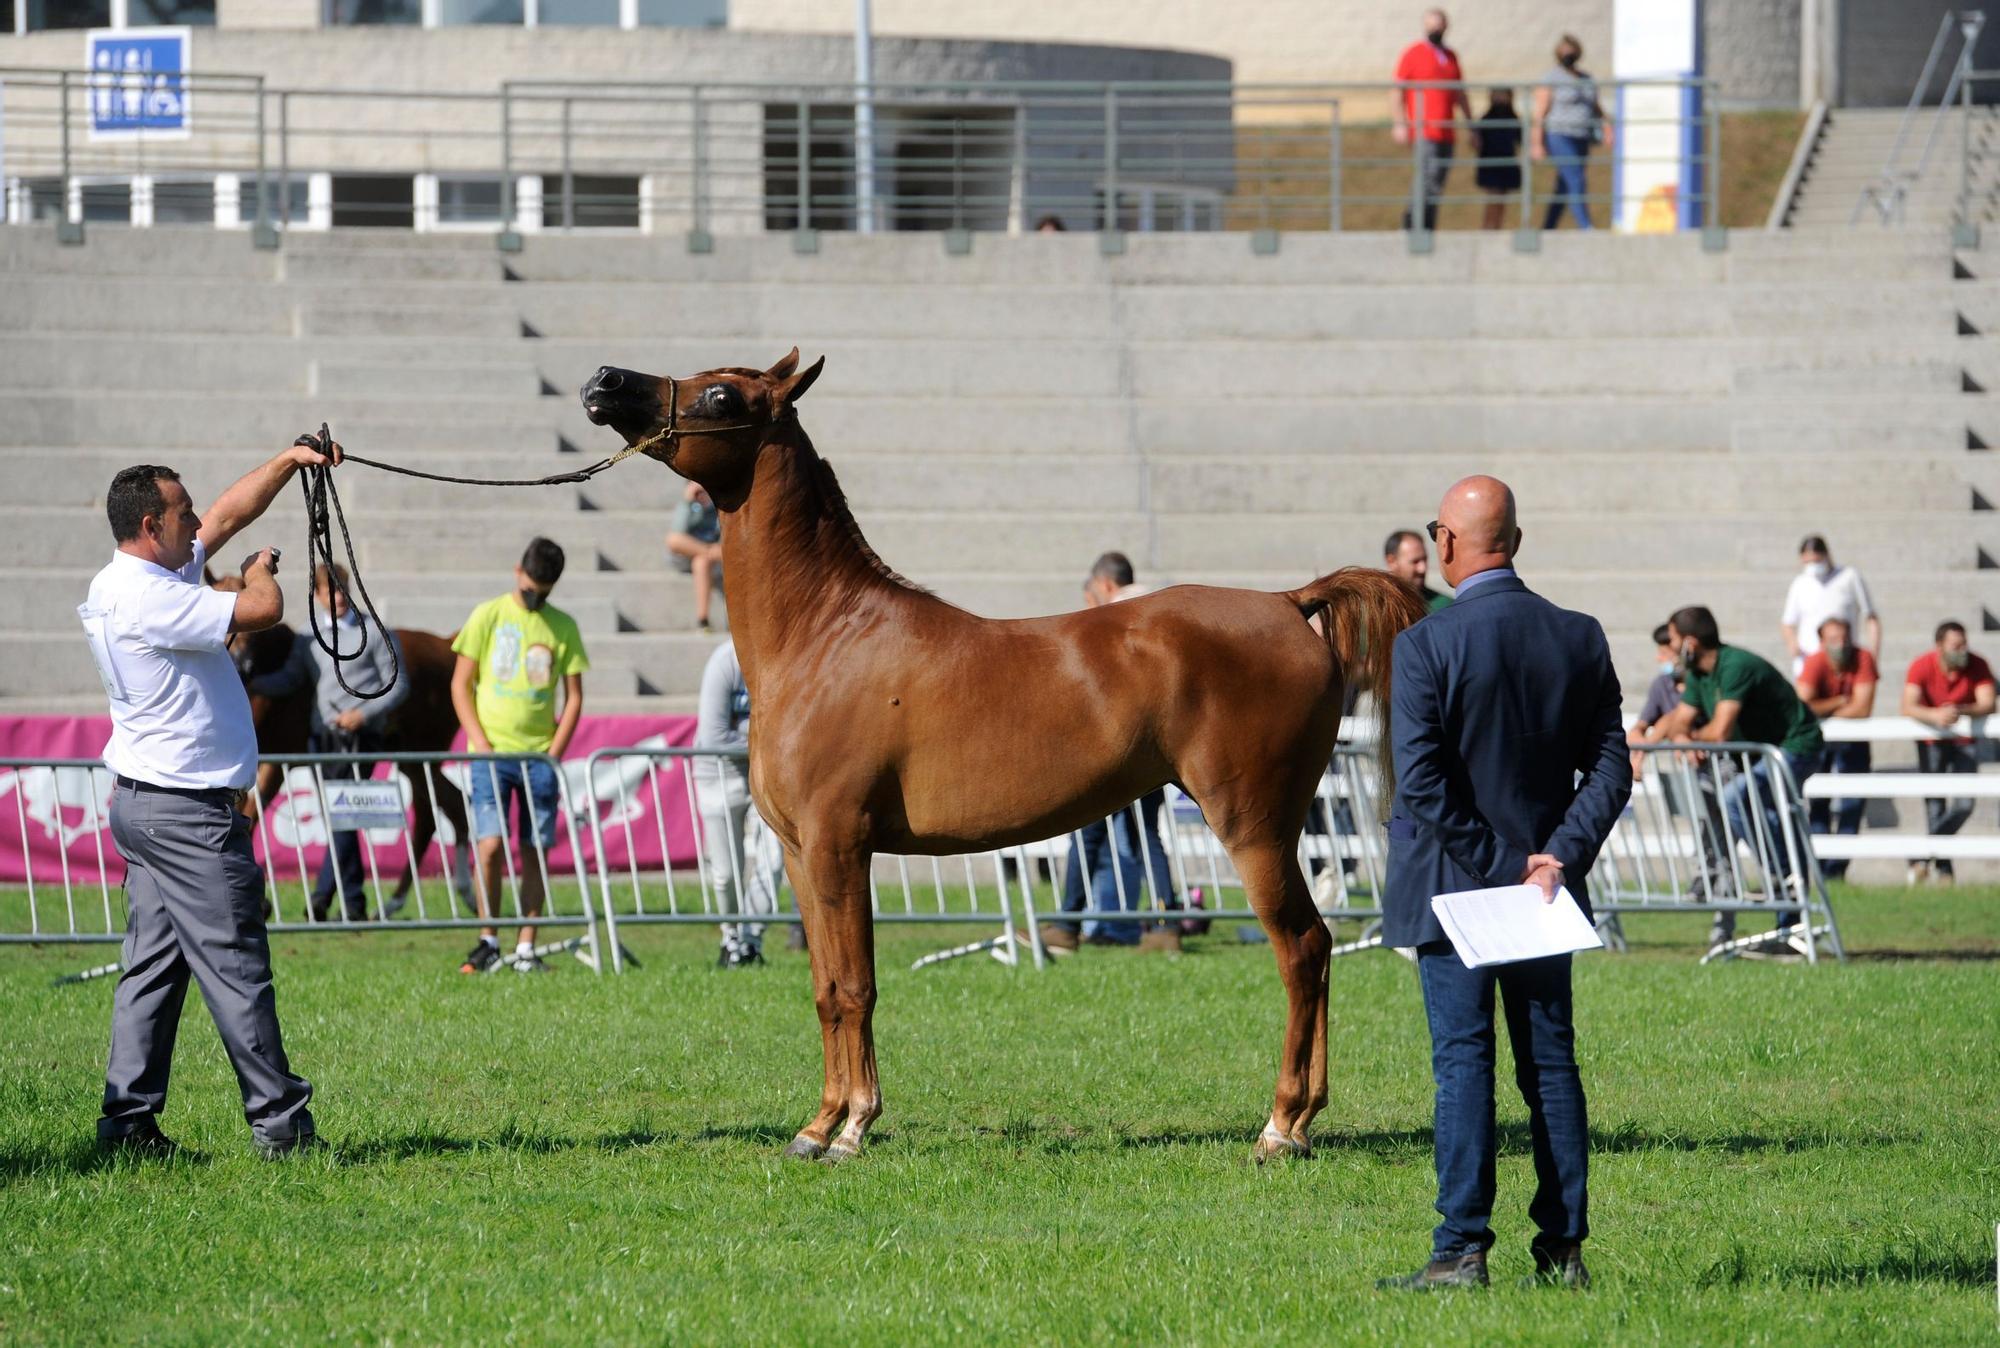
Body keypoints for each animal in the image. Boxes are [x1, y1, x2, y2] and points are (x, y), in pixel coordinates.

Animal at [584, 352, 1440, 1160]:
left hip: (1254, 827)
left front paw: (854, 1127)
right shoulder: (801, 853)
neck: (828, 635)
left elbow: (857, 986)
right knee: (1315, 951)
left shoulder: (839, 846)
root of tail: (1290, 602)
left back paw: (1280, 1126)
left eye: (721, 396)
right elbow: (827, 988)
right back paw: (1302, 1121)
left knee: (1302, 949)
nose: (603, 381)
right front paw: (818, 1125)